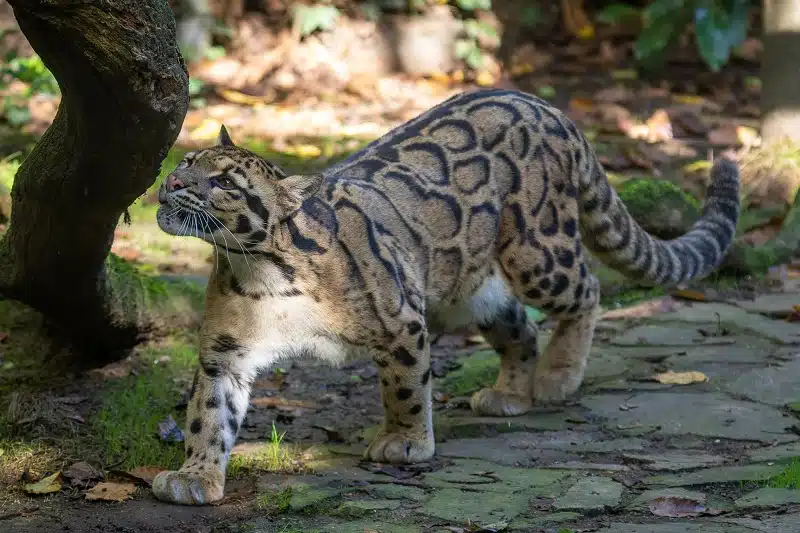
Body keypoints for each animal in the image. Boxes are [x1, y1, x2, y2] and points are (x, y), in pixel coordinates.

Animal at [150, 87, 736, 502]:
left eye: (225, 182)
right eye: (186, 163)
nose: (171, 185)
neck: (261, 273)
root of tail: (543, 104)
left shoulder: (401, 322)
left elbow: (406, 386)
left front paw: (405, 442)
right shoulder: (224, 352)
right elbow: (208, 415)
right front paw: (195, 475)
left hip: (537, 251)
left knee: (586, 289)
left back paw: (559, 377)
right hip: (475, 289)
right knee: (522, 327)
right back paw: (510, 393)